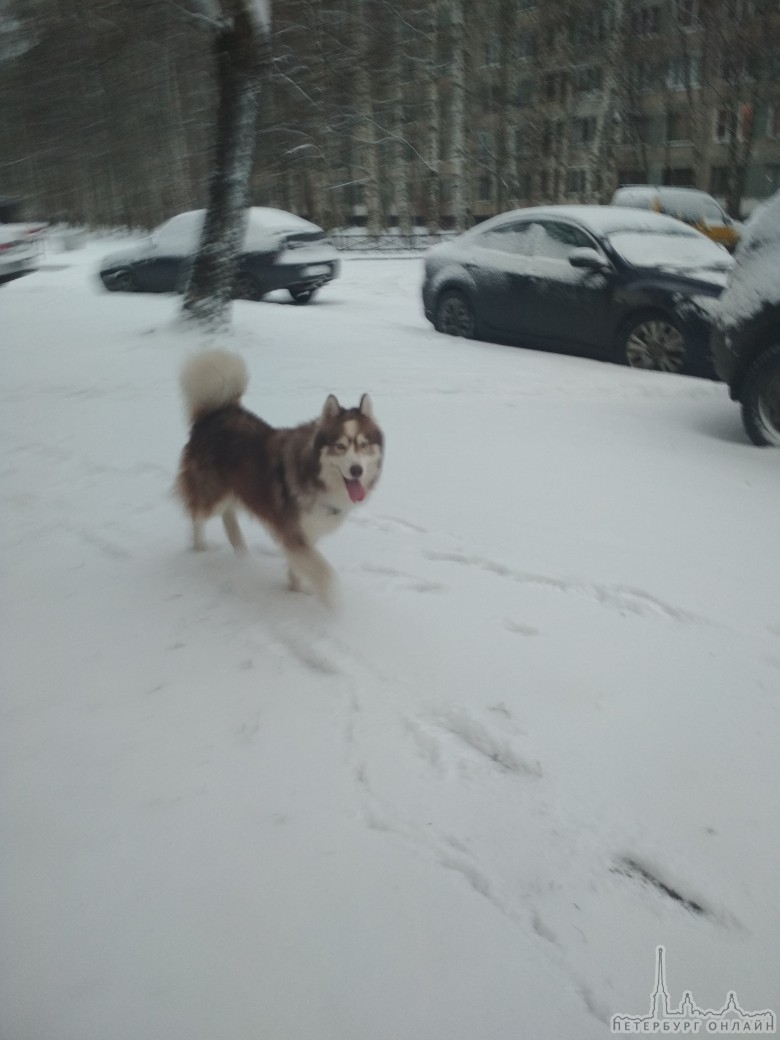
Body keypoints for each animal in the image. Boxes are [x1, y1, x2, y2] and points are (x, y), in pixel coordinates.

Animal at [177, 349, 384, 607]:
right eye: (340, 446)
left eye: (364, 445)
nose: (357, 470)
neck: (316, 476)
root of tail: (217, 412)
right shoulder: (294, 533)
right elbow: (325, 572)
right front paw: (333, 601)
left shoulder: (305, 534)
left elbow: (300, 569)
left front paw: (296, 591)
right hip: (212, 491)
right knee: (198, 514)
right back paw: (200, 549)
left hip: (235, 487)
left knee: (227, 514)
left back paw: (241, 552)